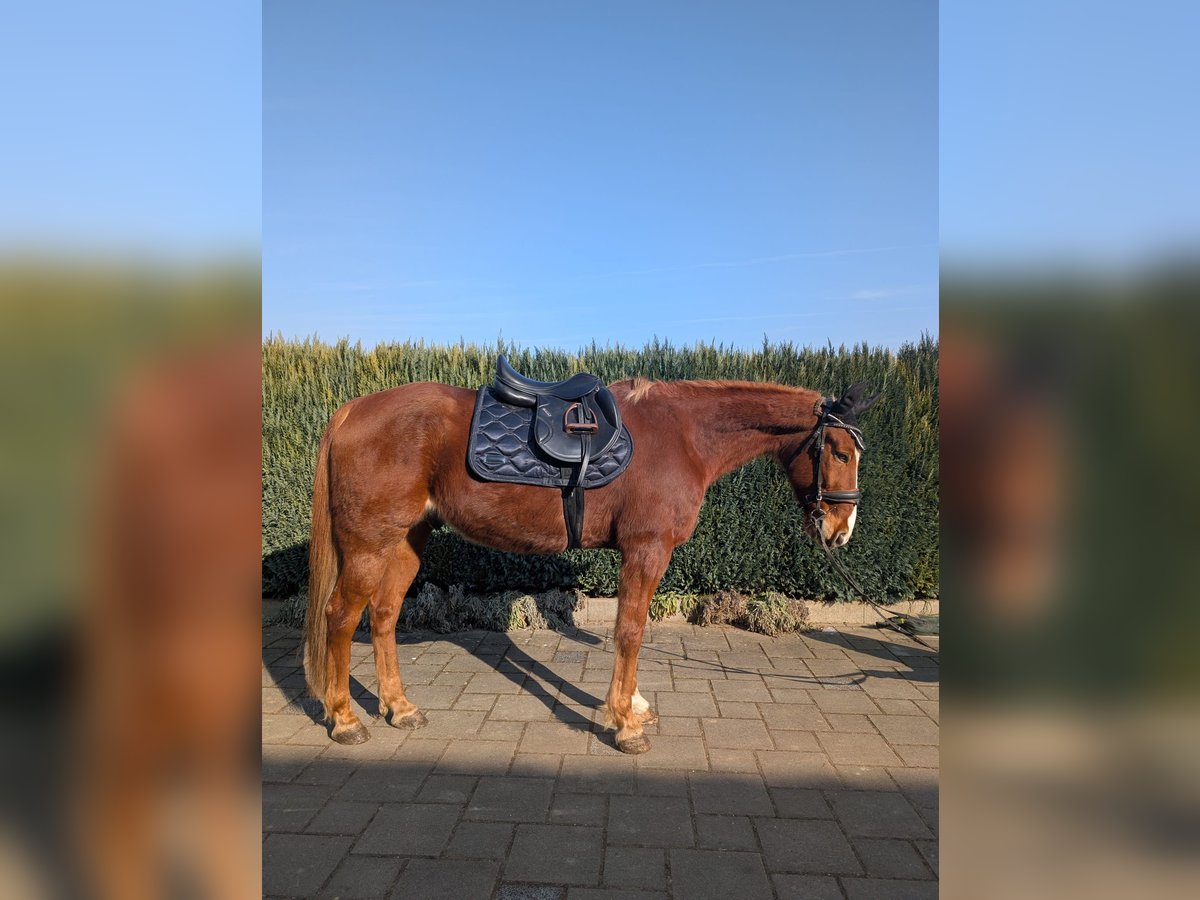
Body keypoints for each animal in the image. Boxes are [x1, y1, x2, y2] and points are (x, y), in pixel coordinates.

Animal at [304, 374, 878, 753]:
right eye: (840, 452)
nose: (842, 530)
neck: (683, 435)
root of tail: (354, 410)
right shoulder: (646, 549)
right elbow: (630, 630)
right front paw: (625, 723)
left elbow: (634, 628)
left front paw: (635, 706)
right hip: (368, 546)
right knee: (340, 617)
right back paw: (345, 719)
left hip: (405, 542)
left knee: (383, 616)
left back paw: (401, 709)